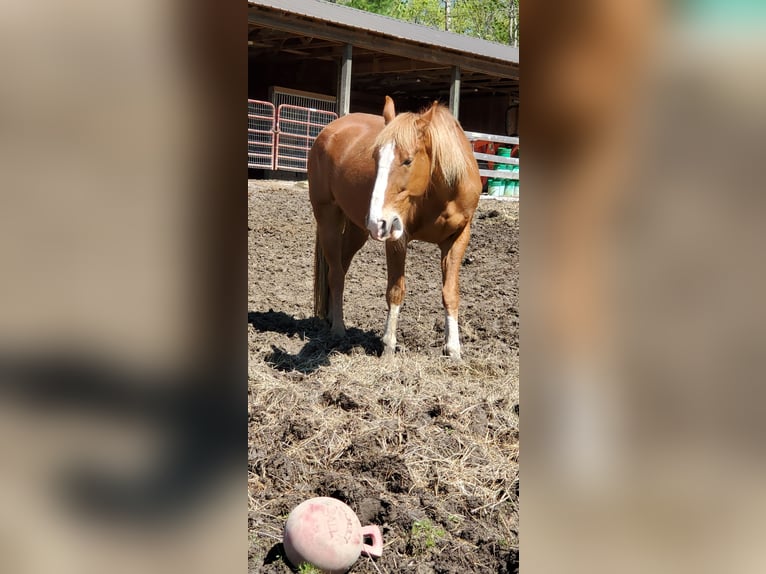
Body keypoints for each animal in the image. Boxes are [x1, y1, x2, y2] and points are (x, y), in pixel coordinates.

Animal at [306, 98, 480, 360]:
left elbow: (450, 293)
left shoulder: (458, 238)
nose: (377, 221)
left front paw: (453, 349)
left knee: (341, 268)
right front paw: (388, 345)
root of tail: (329, 130)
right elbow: (395, 290)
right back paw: (338, 329)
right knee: (335, 273)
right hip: (329, 218)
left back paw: (331, 317)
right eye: (375, 158)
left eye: (408, 160)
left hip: (357, 230)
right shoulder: (397, 237)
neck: (441, 191)